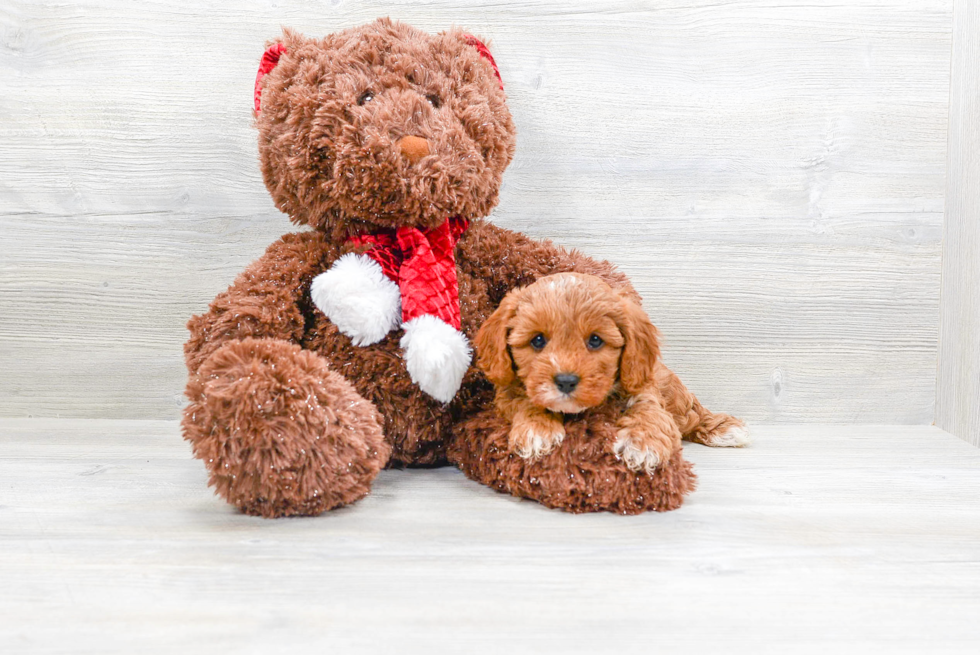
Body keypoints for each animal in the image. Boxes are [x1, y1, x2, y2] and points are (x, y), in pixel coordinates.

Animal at [474, 272, 752, 472]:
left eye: (595, 340)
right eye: (538, 340)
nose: (566, 381)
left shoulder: (644, 392)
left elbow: (649, 413)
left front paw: (643, 443)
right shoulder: (508, 392)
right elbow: (527, 402)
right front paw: (537, 430)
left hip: (674, 395)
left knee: (693, 412)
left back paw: (722, 429)